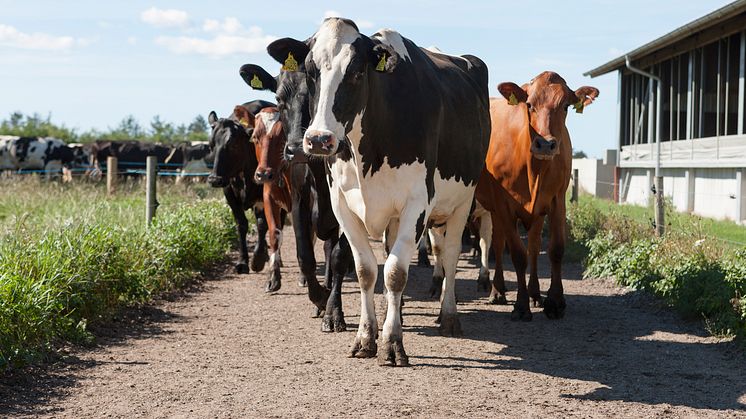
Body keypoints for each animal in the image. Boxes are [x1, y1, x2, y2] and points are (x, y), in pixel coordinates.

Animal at [206, 101, 274, 278]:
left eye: (233, 144)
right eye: (211, 145)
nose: (214, 179)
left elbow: (262, 224)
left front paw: (257, 259)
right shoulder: (229, 193)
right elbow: (241, 224)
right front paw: (243, 262)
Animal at [280, 18, 488, 368]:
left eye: (356, 72)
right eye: (310, 70)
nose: (318, 139)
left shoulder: (417, 204)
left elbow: (394, 273)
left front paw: (392, 342)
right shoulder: (342, 204)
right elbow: (365, 270)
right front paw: (366, 337)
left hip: (463, 200)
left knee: (449, 254)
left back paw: (448, 317)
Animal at [476, 71, 600, 322]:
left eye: (565, 106)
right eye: (529, 105)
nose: (545, 144)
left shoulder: (557, 199)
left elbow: (555, 249)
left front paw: (555, 302)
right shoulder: (503, 204)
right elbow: (517, 254)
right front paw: (521, 306)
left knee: (533, 246)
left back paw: (534, 293)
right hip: (494, 208)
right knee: (498, 242)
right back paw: (498, 290)